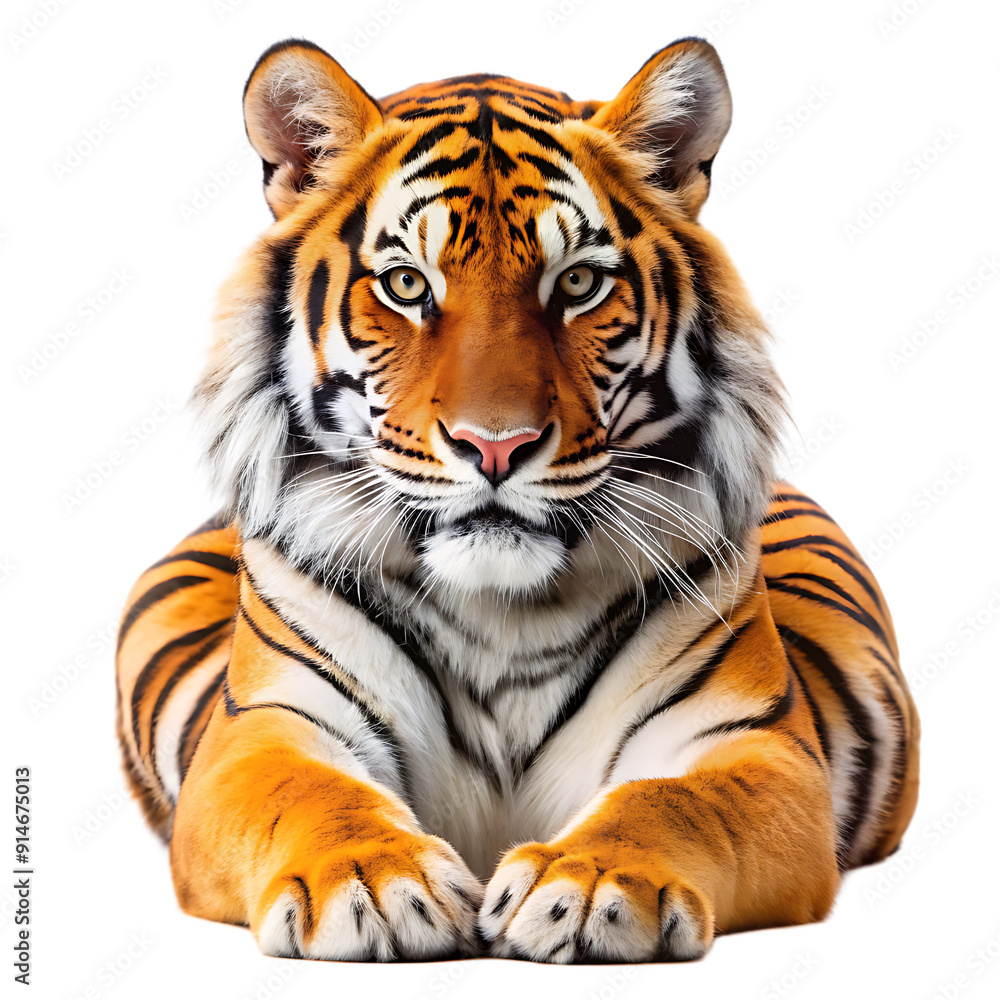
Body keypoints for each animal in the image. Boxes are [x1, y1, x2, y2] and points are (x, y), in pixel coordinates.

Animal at [115, 36, 920, 963]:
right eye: (405, 285)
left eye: (575, 285)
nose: (495, 445)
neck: (501, 610)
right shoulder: (266, 728)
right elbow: (312, 795)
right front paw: (373, 882)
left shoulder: (749, 744)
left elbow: (671, 801)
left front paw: (592, 883)